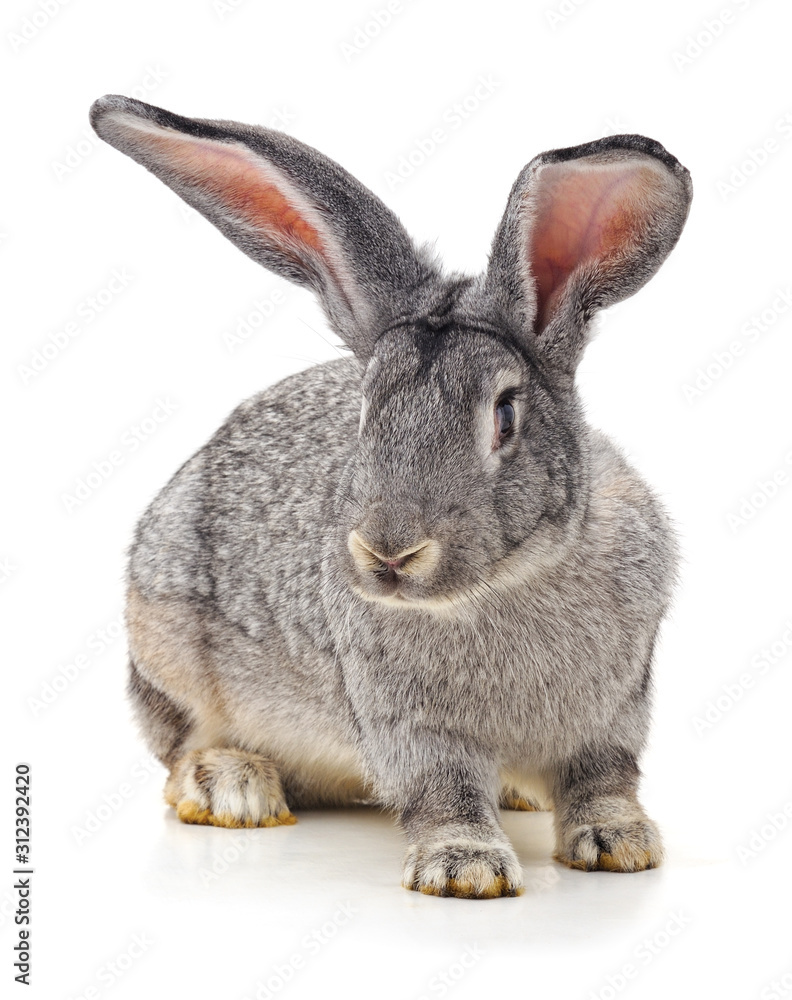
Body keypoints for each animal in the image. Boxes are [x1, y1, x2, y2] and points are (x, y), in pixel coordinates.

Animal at [90, 94, 692, 899]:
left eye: (505, 416)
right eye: (365, 410)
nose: (389, 553)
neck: (505, 585)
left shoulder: (618, 705)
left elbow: (604, 775)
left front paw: (621, 842)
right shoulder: (409, 724)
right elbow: (443, 786)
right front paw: (464, 868)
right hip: (165, 645)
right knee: (177, 753)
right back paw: (235, 787)